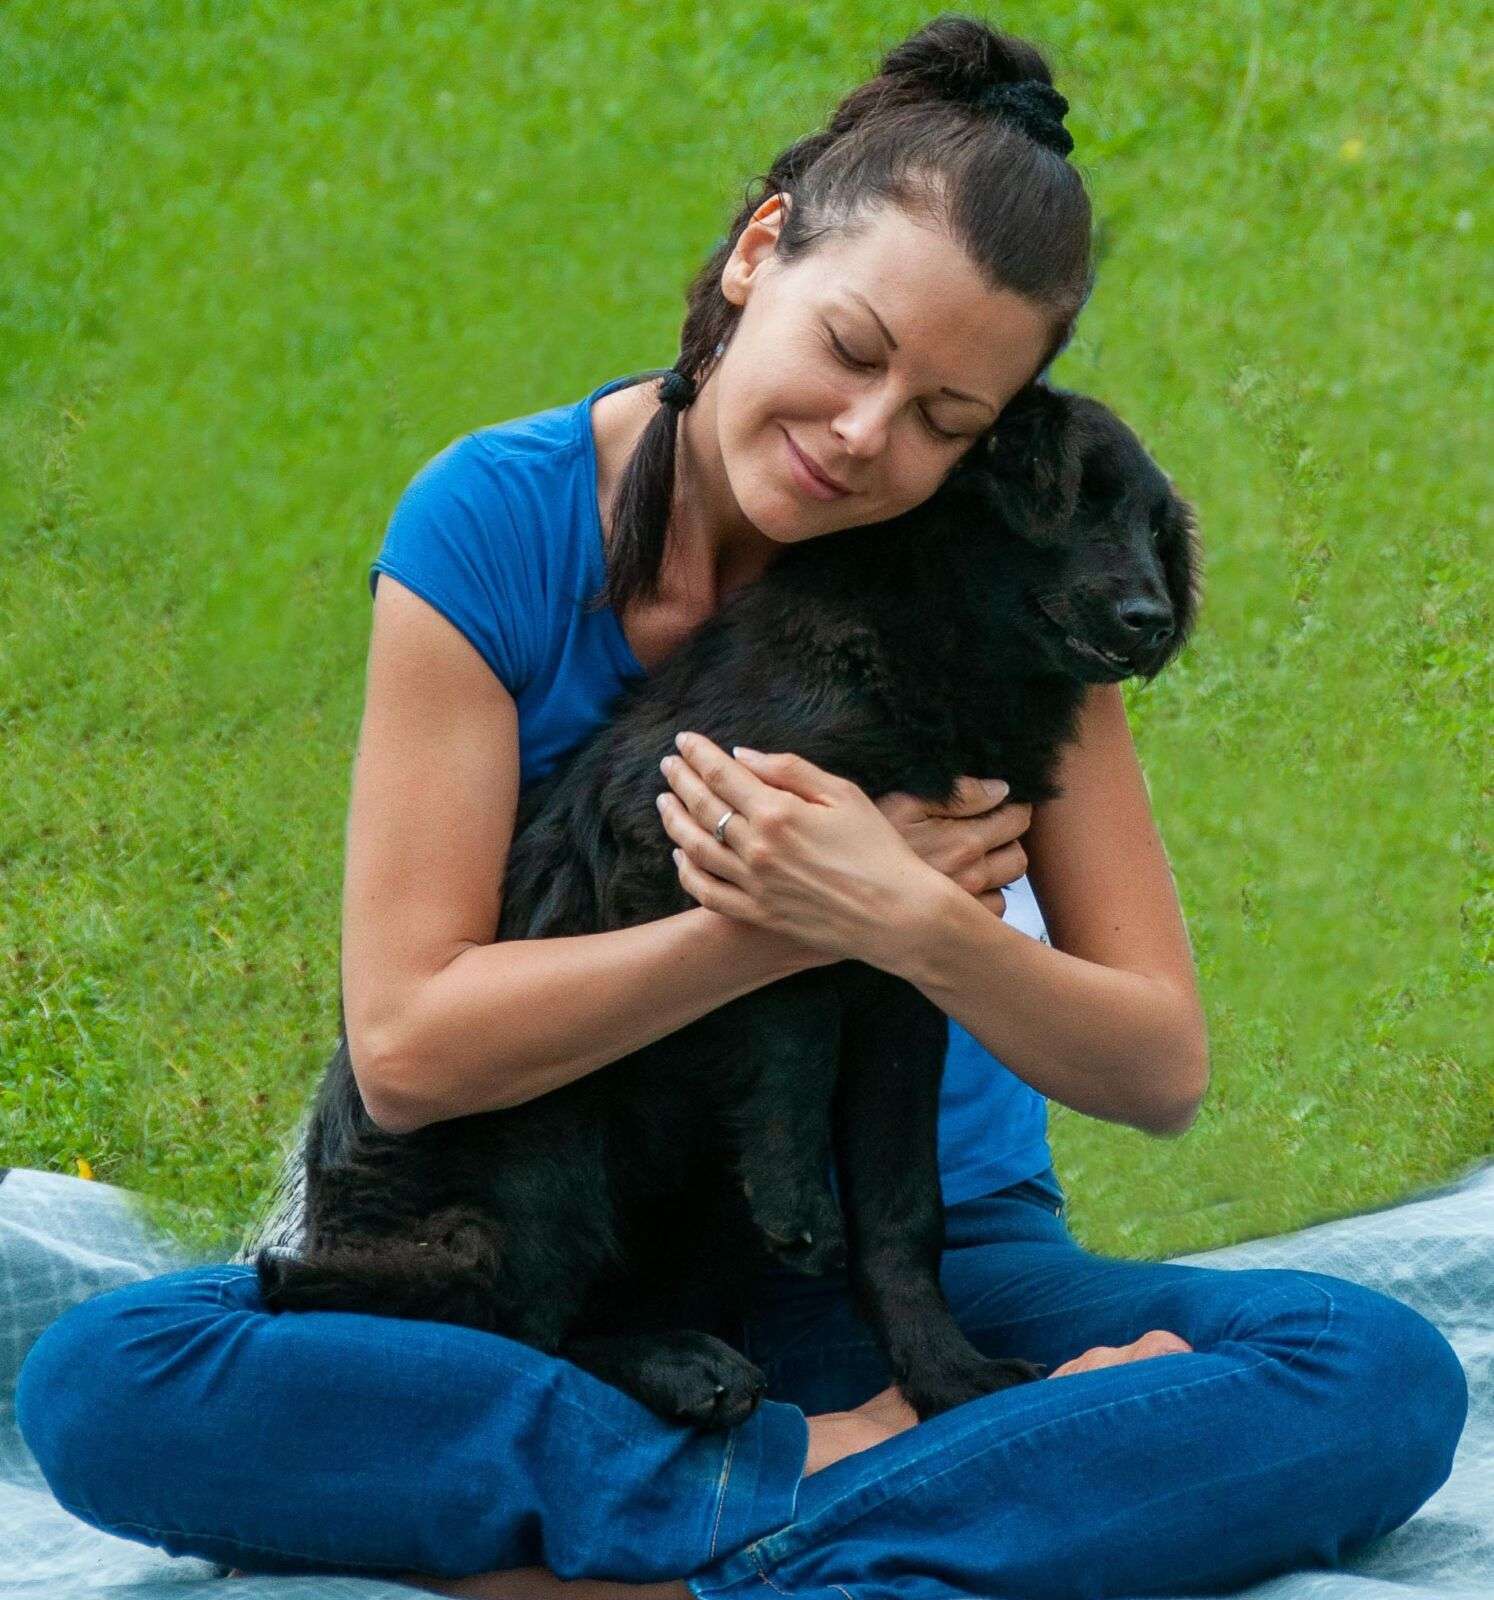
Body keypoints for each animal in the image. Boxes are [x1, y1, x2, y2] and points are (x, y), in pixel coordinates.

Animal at [254, 384, 1190, 1427]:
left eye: (1156, 530)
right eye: (1077, 500)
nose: (1154, 620)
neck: (922, 657)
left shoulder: (913, 973)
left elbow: (904, 1210)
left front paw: (949, 1377)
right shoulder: (697, 847)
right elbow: (788, 998)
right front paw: (796, 1196)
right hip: (546, 1134)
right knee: (509, 1327)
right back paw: (681, 1366)